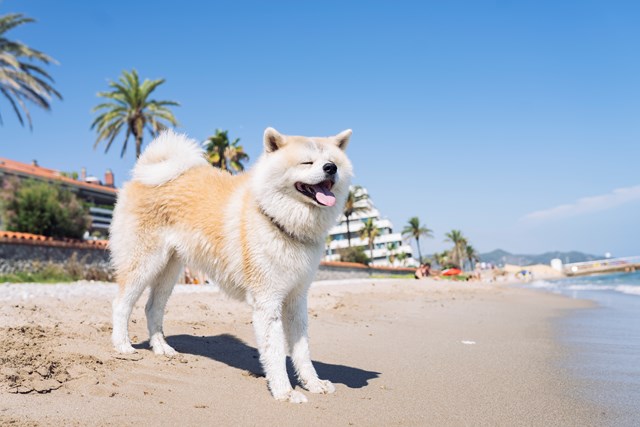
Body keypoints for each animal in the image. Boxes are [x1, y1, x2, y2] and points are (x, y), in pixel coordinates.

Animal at [108, 125, 352, 402]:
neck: (275, 219)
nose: (331, 168)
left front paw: (313, 383)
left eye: (332, 161)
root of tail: (143, 173)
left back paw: (161, 347)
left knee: (152, 308)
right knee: (121, 304)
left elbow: (302, 351)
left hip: (169, 270)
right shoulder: (267, 302)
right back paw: (122, 345)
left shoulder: (296, 299)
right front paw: (284, 392)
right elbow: (275, 352)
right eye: (307, 162)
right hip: (144, 263)